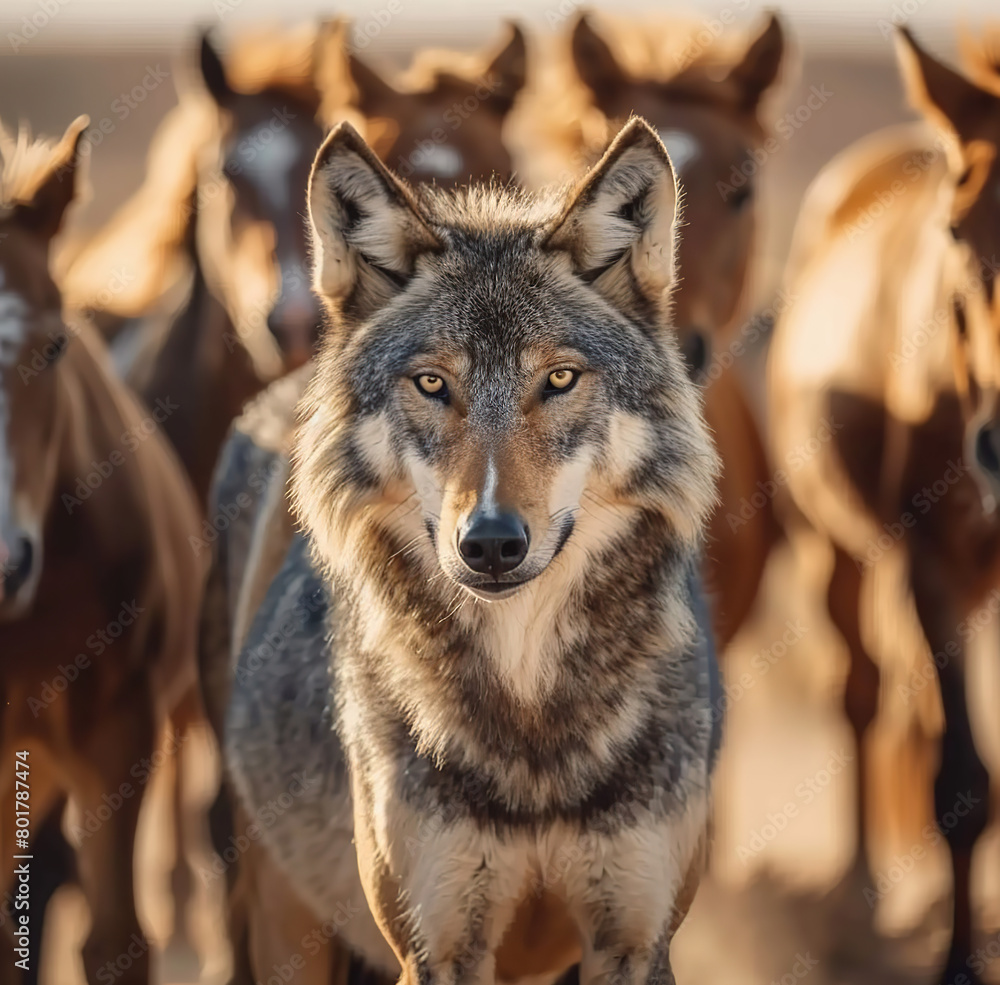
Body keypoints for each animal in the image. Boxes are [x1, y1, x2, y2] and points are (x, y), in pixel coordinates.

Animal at [207, 116, 723, 985]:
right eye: (431, 384)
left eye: (559, 379)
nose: (490, 542)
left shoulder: (634, 938)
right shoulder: (438, 945)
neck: (531, 723)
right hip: (282, 919)